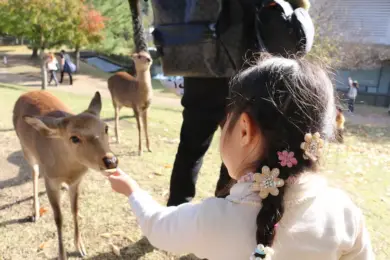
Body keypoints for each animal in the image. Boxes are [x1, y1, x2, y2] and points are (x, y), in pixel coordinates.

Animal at [12, 90, 118, 258]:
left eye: (106, 128)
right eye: (74, 137)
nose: (111, 161)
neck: (67, 170)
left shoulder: (77, 181)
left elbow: (75, 210)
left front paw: (81, 248)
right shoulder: (50, 181)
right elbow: (58, 218)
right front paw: (62, 254)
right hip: (26, 149)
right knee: (34, 172)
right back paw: (35, 213)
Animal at [109, 0, 153, 154]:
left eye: (148, 54)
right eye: (139, 56)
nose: (149, 59)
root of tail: (110, 78)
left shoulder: (145, 108)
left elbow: (146, 126)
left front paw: (149, 148)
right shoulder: (135, 106)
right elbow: (139, 127)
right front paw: (139, 151)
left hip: (122, 103)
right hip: (114, 99)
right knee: (115, 115)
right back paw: (117, 138)